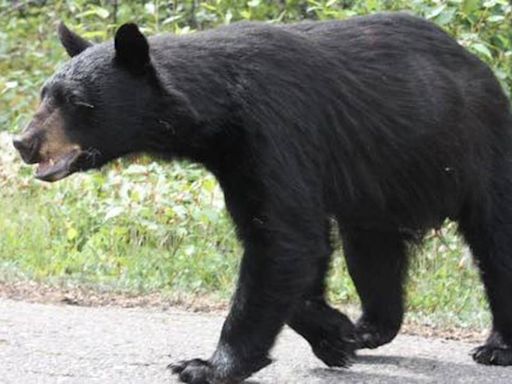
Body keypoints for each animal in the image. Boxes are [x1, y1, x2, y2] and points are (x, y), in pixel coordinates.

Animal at [11, 12, 512, 384]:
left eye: (78, 102)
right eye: (45, 94)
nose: (23, 142)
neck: (218, 114)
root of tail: (485, 71)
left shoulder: (274, 132)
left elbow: (284, 239)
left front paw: (204, 365)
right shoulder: (236, 161)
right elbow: (294, 243)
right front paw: (335, 334)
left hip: (478, 152)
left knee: (495, 241)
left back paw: (496, 346)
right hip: (379, 189)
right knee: (371, 252)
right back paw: (370, 328)